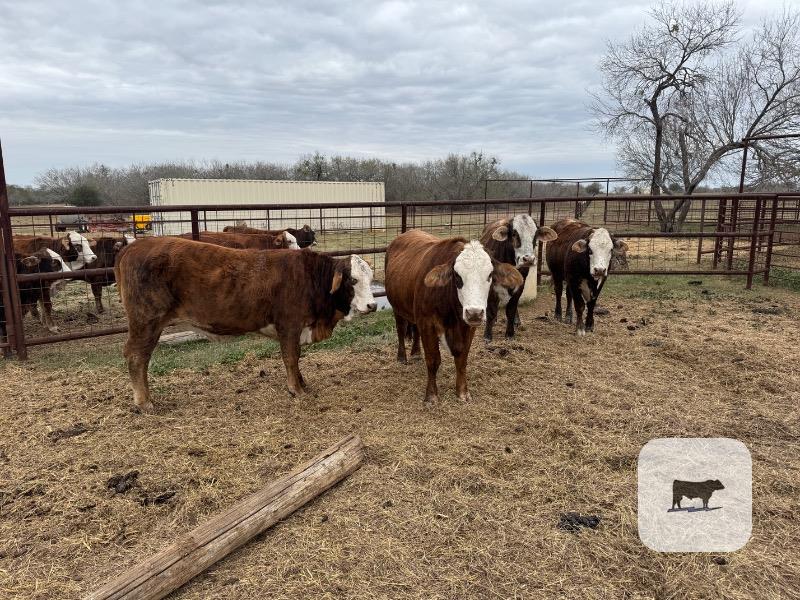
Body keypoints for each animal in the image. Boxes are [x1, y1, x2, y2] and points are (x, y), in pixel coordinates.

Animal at [115, 237, 377, 411]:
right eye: (353, 280)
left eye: (371, 278)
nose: (372, 305)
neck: (309, 278)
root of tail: (134, 246)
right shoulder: (289, 325)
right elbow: (291, 357)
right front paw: (296, 389)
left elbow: (296, 358)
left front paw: (302, 383)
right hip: (146, 321)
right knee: (137, 356)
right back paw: (144, 402)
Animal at [385, 229, 523, 404]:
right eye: (457, 276)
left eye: (490, 275)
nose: (474, 313)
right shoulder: (427, 323)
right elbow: (433, 360)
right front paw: (431, 395)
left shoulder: (468, 327)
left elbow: (462, 359)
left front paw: (462, 392)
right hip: (397, 308)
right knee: (401, 330)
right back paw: (402, 357)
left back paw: (416, 353)